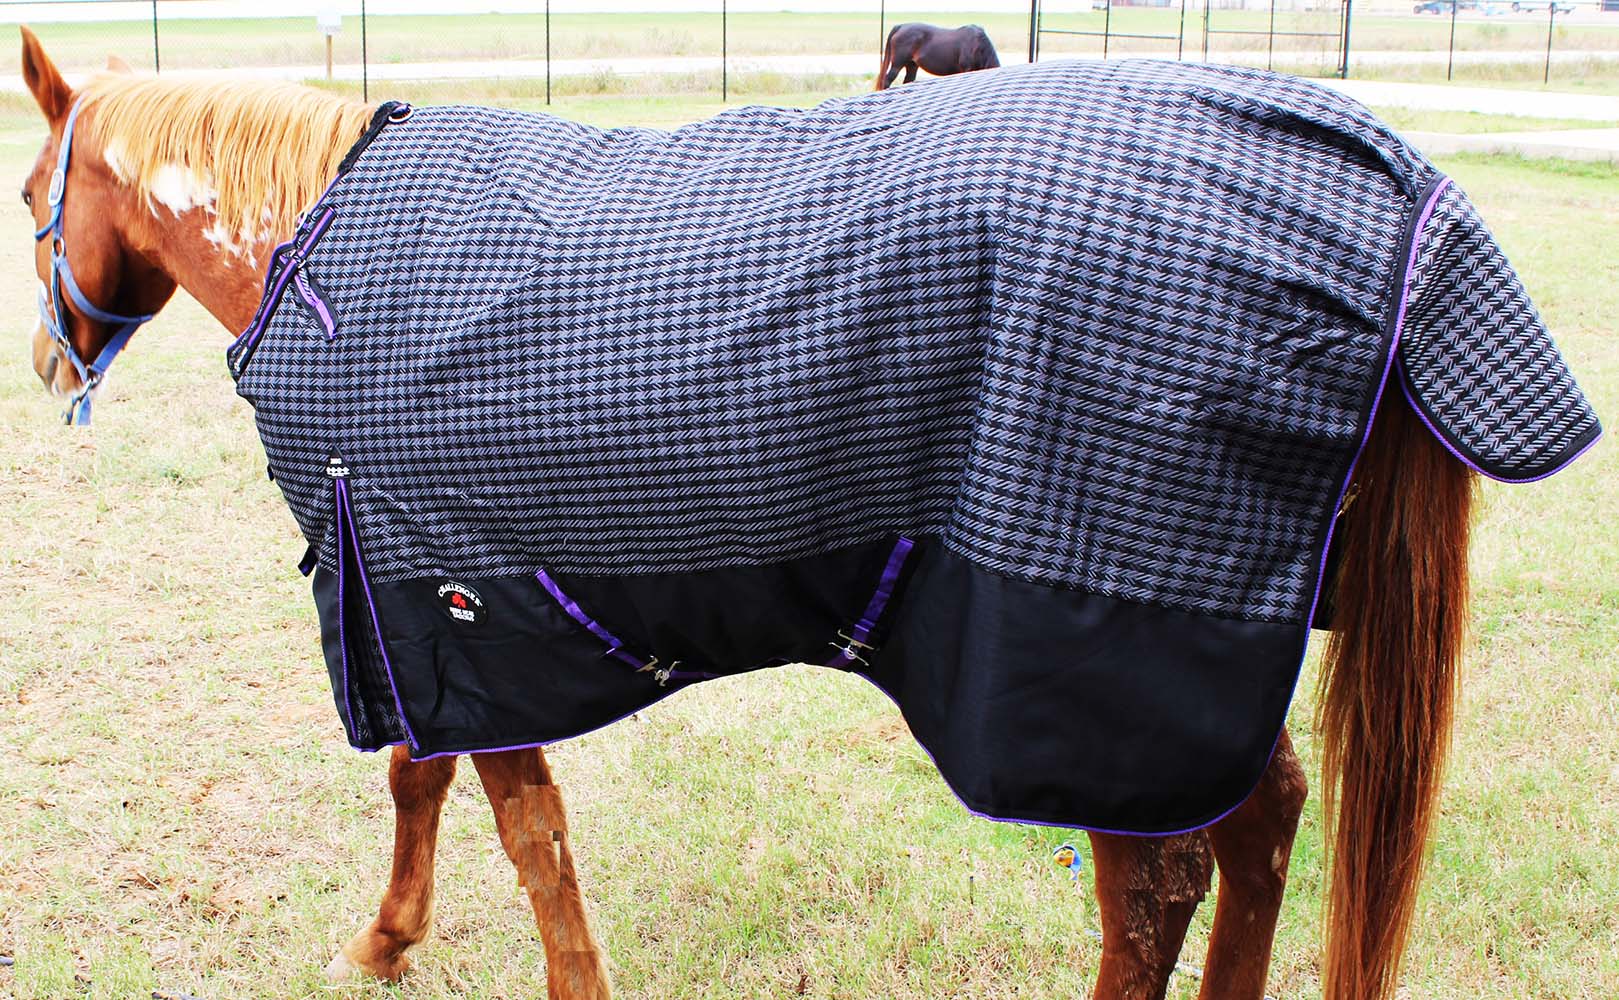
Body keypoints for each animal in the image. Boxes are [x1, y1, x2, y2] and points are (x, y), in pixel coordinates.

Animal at [15, 28, 1597, 1000]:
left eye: (32, 184)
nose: (46, 362)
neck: (327, 255)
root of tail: (1382, 182)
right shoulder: (424, 611)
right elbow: (432, 785)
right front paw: (387, 941)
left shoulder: (433, 592)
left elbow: (520, 831)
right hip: (1195, 669)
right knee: (1262, 823)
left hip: (1092, 689)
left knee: (1161, 887)